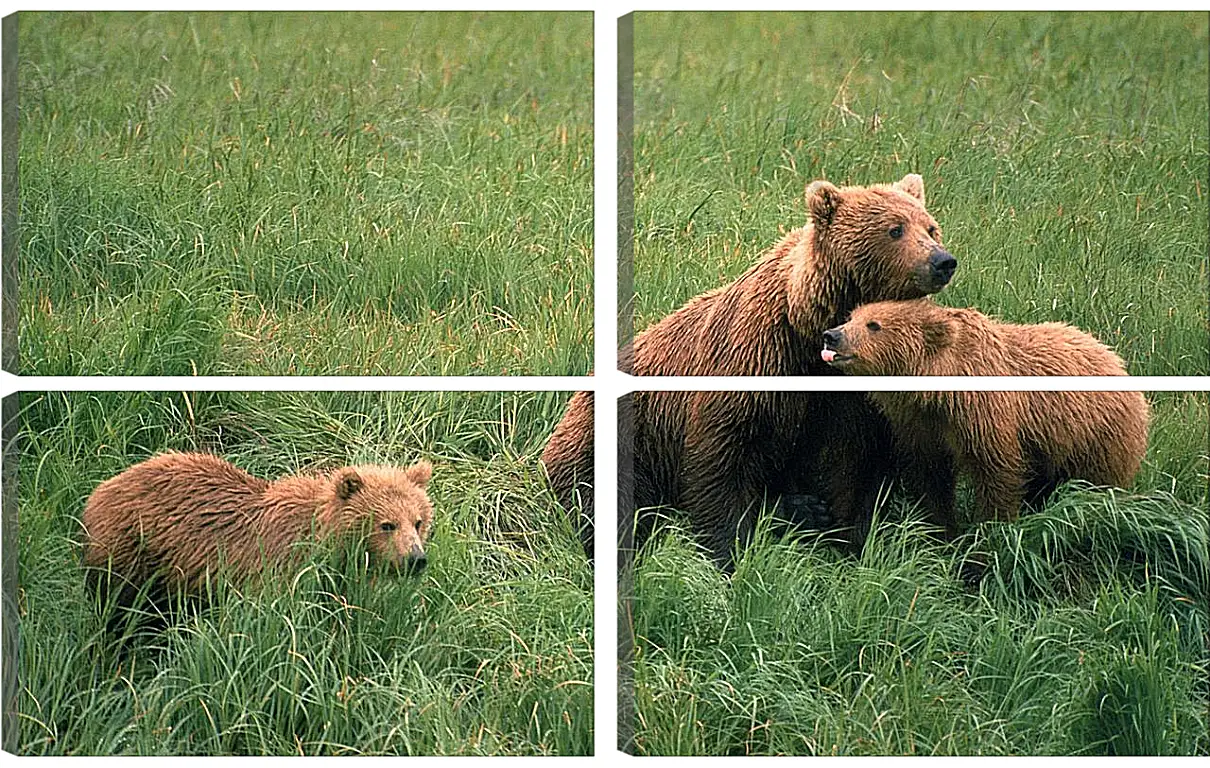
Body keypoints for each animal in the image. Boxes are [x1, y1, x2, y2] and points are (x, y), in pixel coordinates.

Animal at [80, 449, 433, 619]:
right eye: (386, 524)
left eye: (418, 521)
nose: (416, 559)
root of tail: (102, 487)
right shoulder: (278, 566)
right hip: (131, 549)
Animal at [544, 175, 958, 570]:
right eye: (895, 229)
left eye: (931, 227)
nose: (943, 261)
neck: (811, 334)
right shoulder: (757, 359)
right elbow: (724, 456)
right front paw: (727, 552)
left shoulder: (858, 396)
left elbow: (852, 465)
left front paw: (847, 538)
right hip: (618, 437)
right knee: (600, 495)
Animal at [817, 299, 1147, 534]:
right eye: (851, 317)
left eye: (874, 324)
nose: (831, 335)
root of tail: (1116, 359)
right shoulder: (920, 425)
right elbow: (929, 476)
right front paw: (941, 529)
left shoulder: (986, 417)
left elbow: (997, 475)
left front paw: (989, 532)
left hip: (1096, 437)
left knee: (1095, 484)